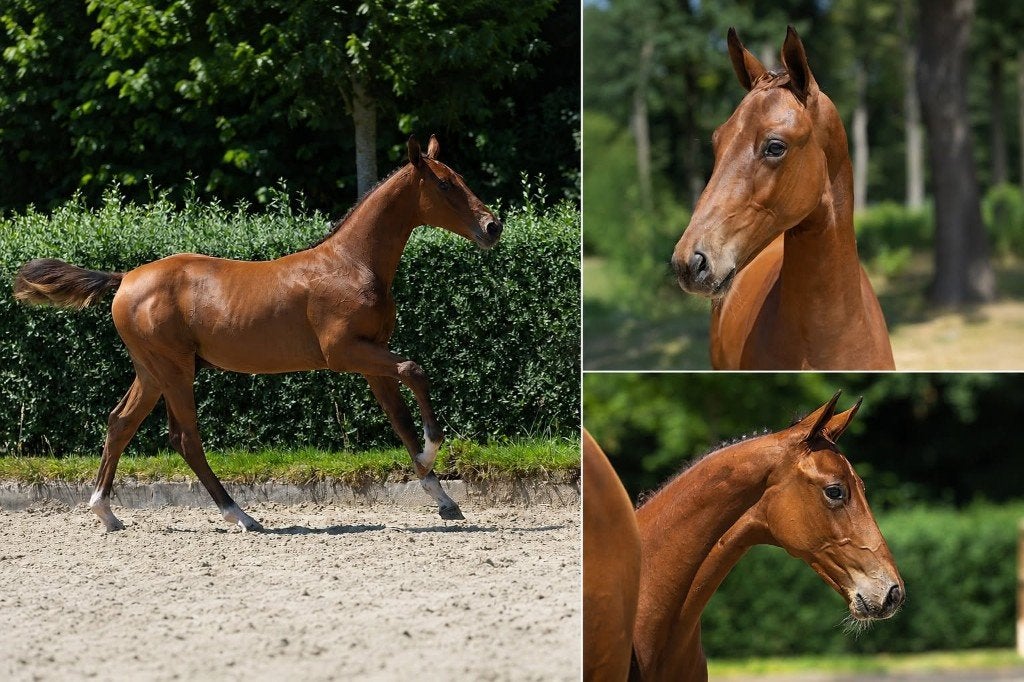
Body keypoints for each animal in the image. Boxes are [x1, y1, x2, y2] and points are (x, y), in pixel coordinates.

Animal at [13, 135, 503, 532]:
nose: (492, 226)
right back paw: (241, 516)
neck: (350, 264)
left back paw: (107, 513)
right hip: (174, 369)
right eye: (444, 184)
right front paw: (430, 452)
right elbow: (415, 370)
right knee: (185, 438)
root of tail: (124, 278)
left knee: (120, 423)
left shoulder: (372, 356)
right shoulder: (345, 352)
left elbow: (399, 417)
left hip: (152, 370)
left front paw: (443, 498)